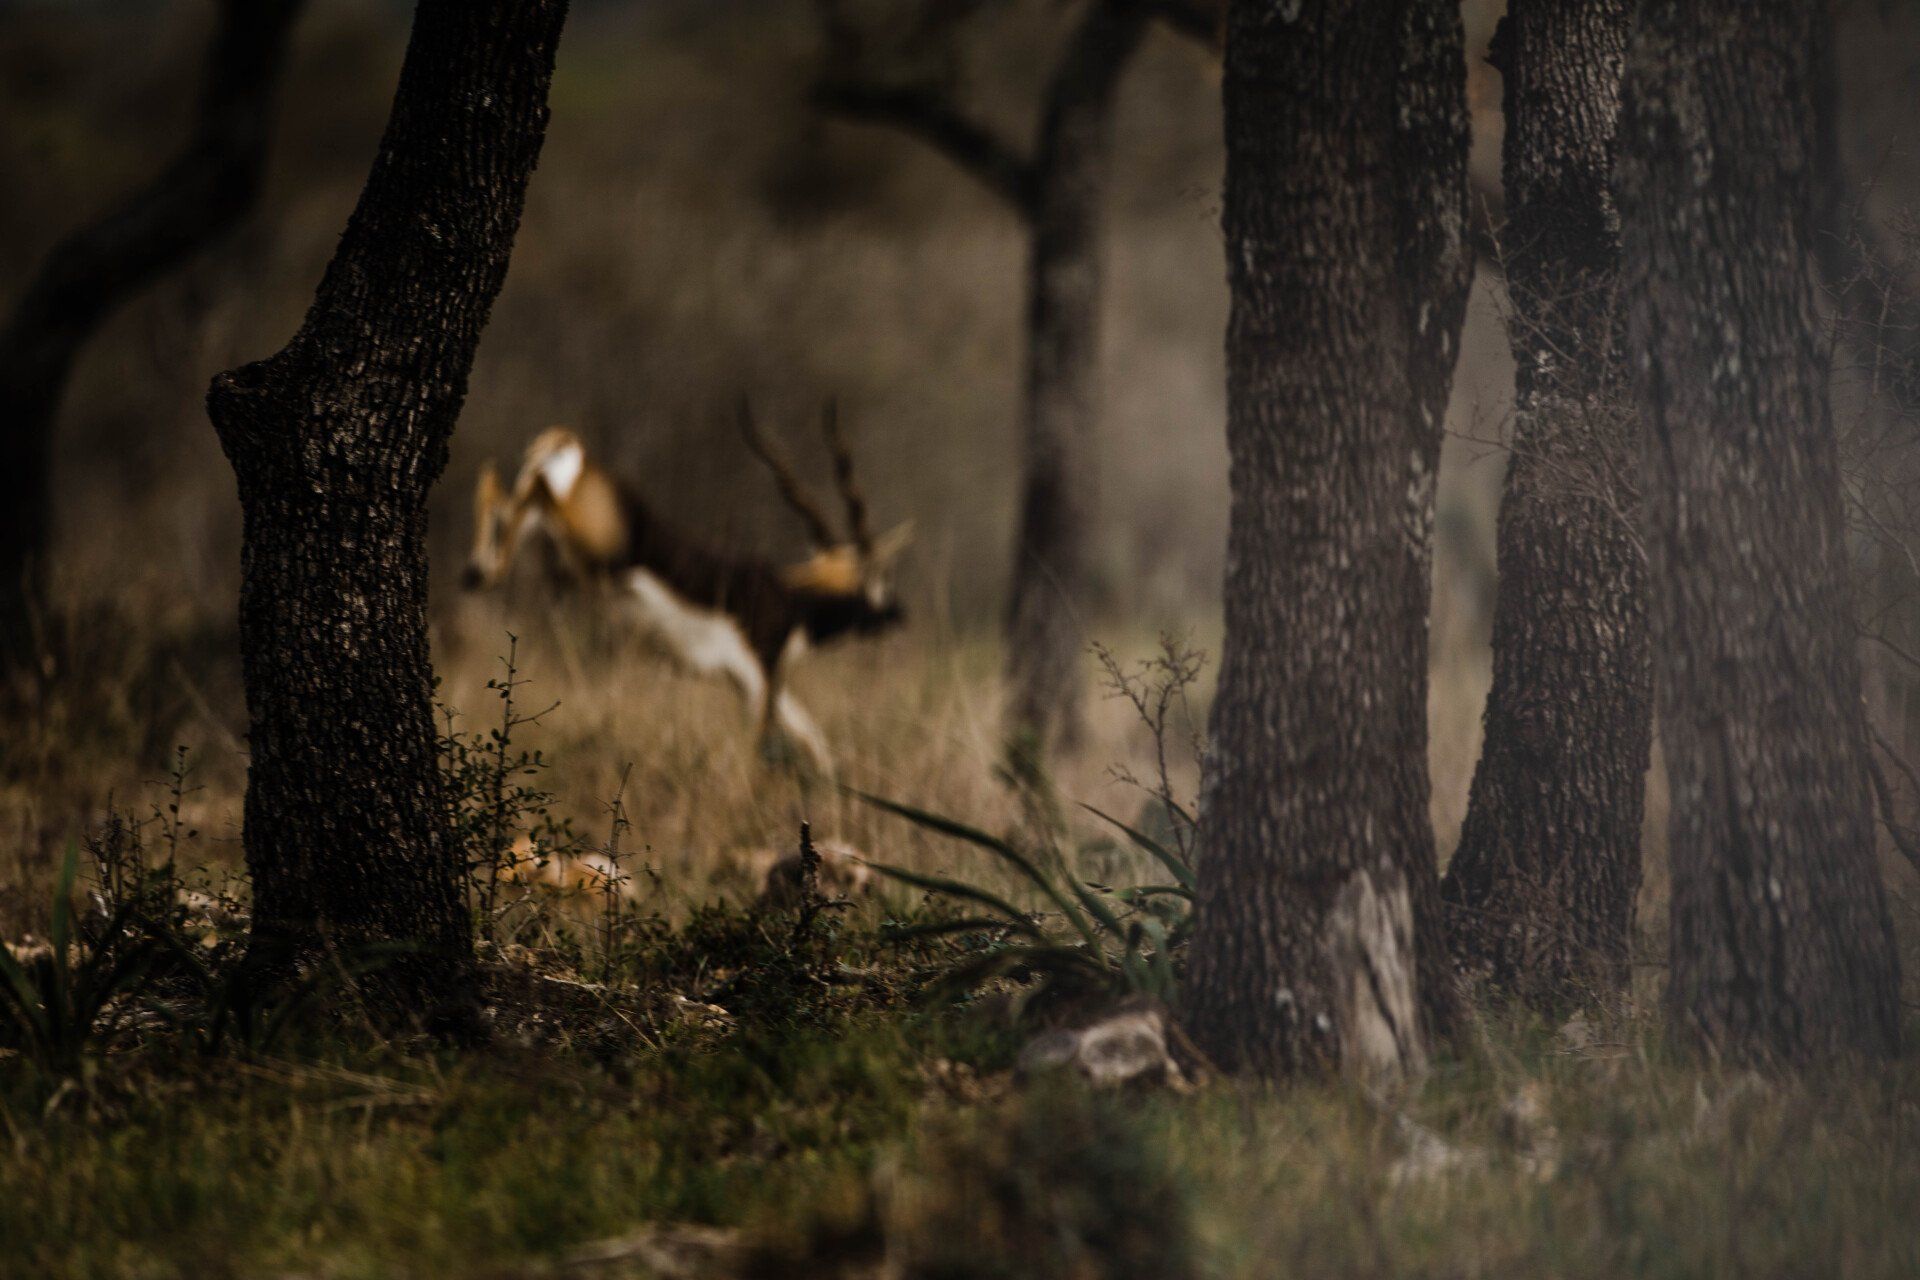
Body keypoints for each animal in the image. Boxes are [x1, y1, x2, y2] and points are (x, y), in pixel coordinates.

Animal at [460, 405, 912, 772]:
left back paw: (474, 566)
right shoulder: (762, 675)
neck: (794, 598)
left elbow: (816, 742)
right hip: (598, 553)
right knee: (526, 497)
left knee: (504, 505)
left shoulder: (749, 681)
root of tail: (566, 442)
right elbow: (766, 747)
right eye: (884, 577)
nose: (900, 614)